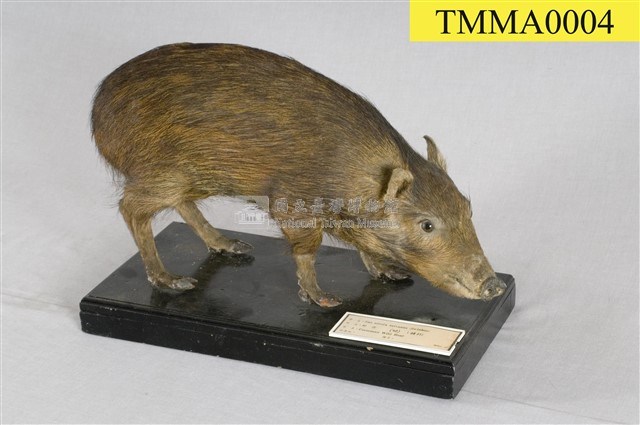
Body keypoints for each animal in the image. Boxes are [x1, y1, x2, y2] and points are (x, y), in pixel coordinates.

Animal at [91, 43, 506, 308]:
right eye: (426, 225)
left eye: (468, 209)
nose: (496, 285)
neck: (357, 174)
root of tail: (97, 112)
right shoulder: (293, 203)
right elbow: (308, 249)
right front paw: (322, 299)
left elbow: (362, 244)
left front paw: (390, 273)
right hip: (161, 171)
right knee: (133, 209)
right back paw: (172, 280)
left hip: (190, 176)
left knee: (183, 205)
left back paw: (232, 245)